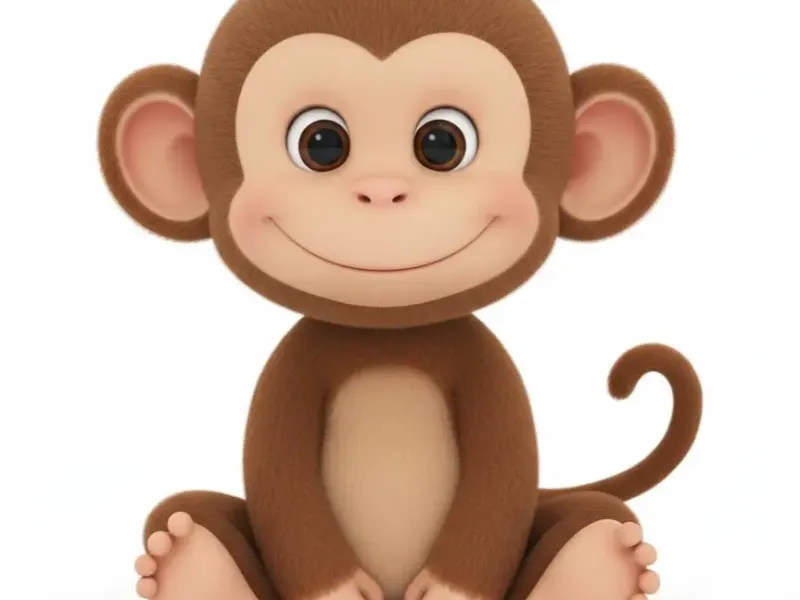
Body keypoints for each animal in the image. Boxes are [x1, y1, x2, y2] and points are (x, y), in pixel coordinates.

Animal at [97, 1, 703, 600]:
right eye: (321, 142)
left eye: (442, 142)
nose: (382, 190)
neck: (389, 338)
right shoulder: (288, 374)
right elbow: (278, 480)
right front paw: (337, 590)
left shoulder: (489, 370)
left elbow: (501, 478)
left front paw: (450, 589)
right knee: (190, 515)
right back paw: (184, 558)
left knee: (595, 517)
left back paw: (605, 559)